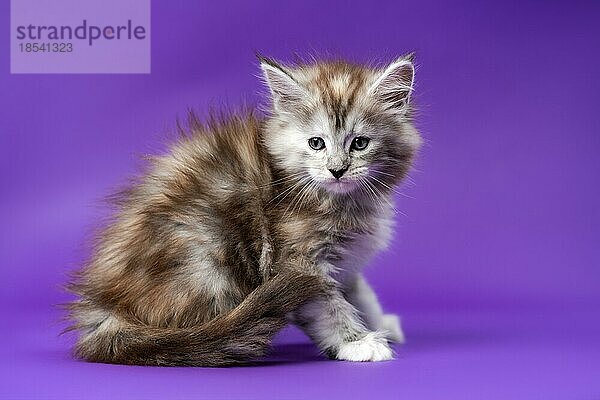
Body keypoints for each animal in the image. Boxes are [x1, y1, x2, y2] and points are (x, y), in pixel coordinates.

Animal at [67, 52, 422, 366]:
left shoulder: (347, 262)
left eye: (360, 143)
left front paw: (380, 324)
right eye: (316, 143)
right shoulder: (297, 260)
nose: (337, 170)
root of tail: (104, 308)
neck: (344, 202)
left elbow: (361, 294)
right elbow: (330, 308)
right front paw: (357, 342)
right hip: (206, 248)